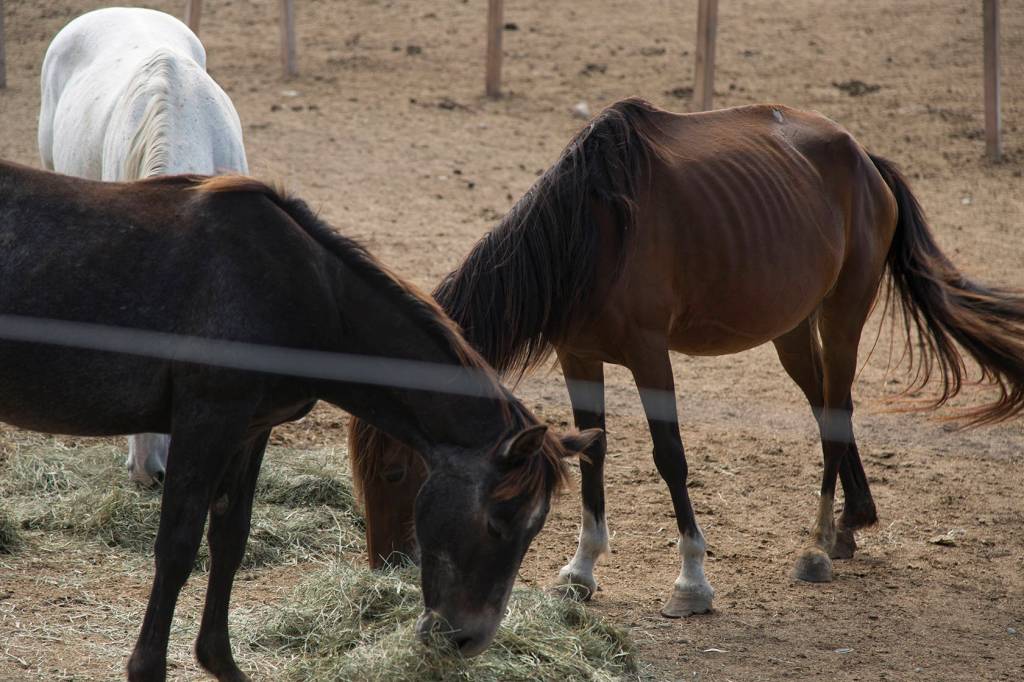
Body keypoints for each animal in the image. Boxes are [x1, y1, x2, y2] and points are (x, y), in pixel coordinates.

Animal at [0, 162, 599, 680]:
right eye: (499, 519)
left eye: (535, 528)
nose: (468, 640)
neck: (306, 294)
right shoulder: (205, 422)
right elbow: (176, 548)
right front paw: (147, 669)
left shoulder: (250, 430)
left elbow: (230, 538)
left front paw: (220, 661)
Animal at [348, 98, 1024, 619]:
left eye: (395, 474)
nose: (385, 565)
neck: (590, 232)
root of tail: (863, 158)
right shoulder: (578, 355)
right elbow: (592, 451)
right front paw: (581, 569)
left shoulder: (650, 356)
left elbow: (669, 456)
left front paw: (692, 582)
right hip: (791, 328)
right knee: (828, 407)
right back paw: (849, 525)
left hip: (843, 313)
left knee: (834, 409)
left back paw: (815, 545)